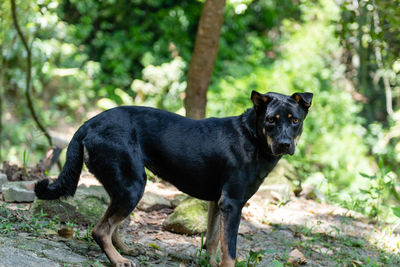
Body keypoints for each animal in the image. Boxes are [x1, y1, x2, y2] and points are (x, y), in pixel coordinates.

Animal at [35, 91, 312, 266]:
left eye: (295, 121)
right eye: (271, 120)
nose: (285, 144)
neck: (252, 137)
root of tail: (88, 124)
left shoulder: (217, 203)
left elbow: (214, 241)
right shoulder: (232, 203)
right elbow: (230, 250)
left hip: (123, 184)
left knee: (110, 224)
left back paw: (125, 250)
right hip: (133, 185)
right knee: (100, 229)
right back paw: (119, 260)